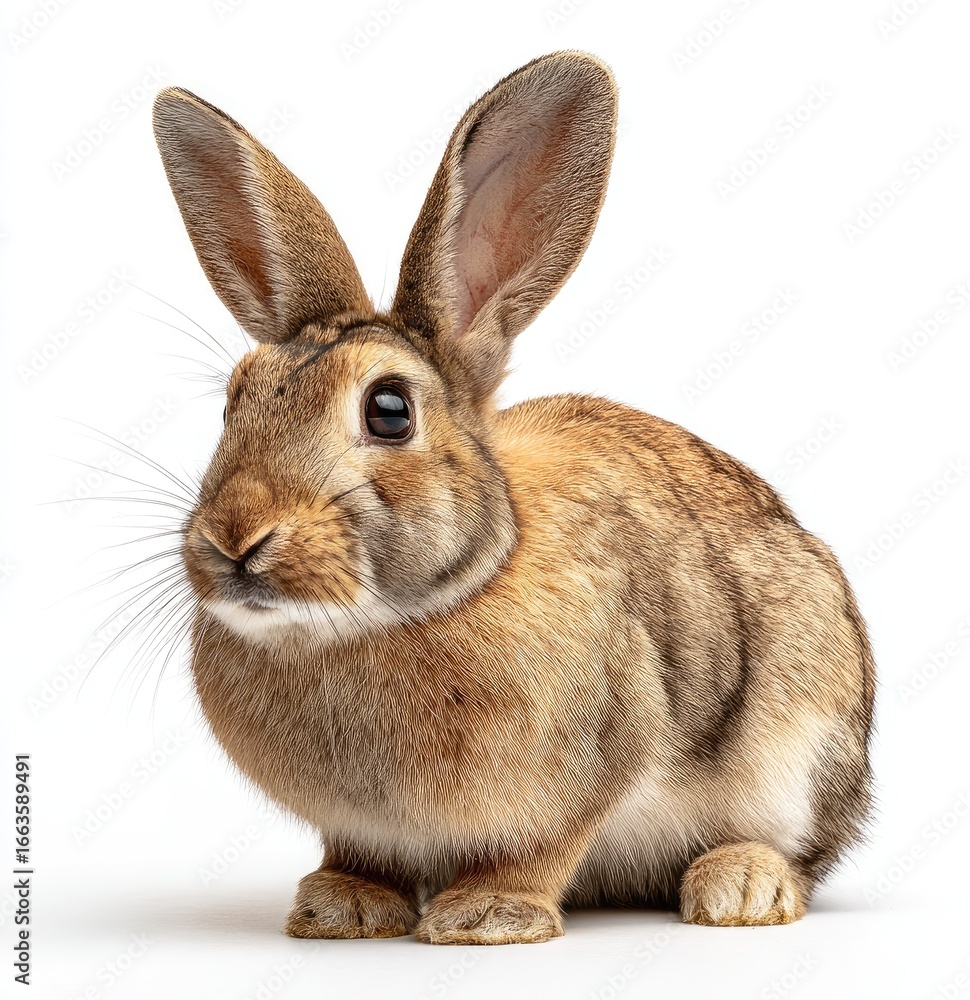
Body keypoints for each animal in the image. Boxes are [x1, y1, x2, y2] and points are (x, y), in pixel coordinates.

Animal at [151, 51, 875, 945]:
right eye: (233, 401)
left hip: (805, 731)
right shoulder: (360, 825)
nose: (235, 537)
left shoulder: (596, 764)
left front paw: (486, 916)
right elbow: (361, 854)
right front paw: (341, 908)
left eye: (388, 410)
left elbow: (543, 848)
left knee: (802, 849)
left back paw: (738, 888)